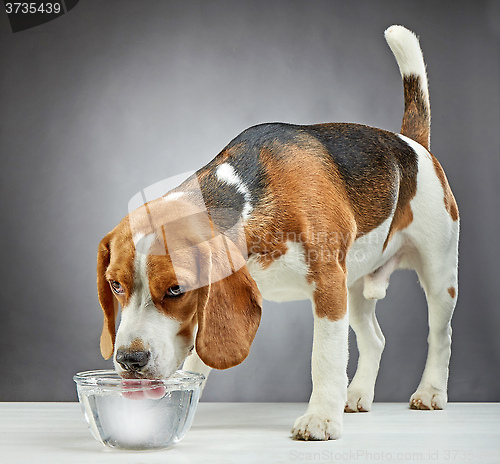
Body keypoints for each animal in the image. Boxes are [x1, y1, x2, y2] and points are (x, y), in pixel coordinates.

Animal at [95, 27, 458, 440]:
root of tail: (411, 144)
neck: (247, 199)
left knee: (440, 336)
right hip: (355, 286)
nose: (129, 359)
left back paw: (430, 391)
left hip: (437, 276)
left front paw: (321, 418)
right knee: (376, 340)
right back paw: (358, 394)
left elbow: (325, 358)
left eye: (176, 290)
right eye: (115, 285)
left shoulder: (328, 285)